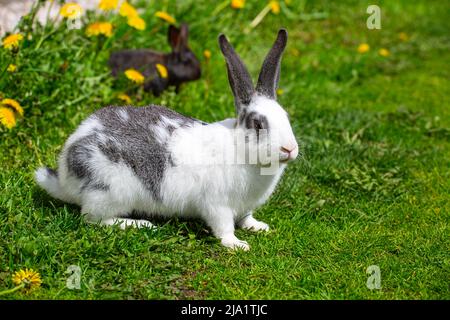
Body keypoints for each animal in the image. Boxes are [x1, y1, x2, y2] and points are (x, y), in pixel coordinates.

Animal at [35, 29, 298, 250]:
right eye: (258, 124)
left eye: (286, 117)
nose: (290, 149)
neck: (240, 149)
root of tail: (65, 175)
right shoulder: (217, 204)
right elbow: (223, 227)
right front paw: (237, 245)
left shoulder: (244, 207)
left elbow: (245, 218)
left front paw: (259, 227)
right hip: (112, 191)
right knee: (92, 219)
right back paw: (139, 224)